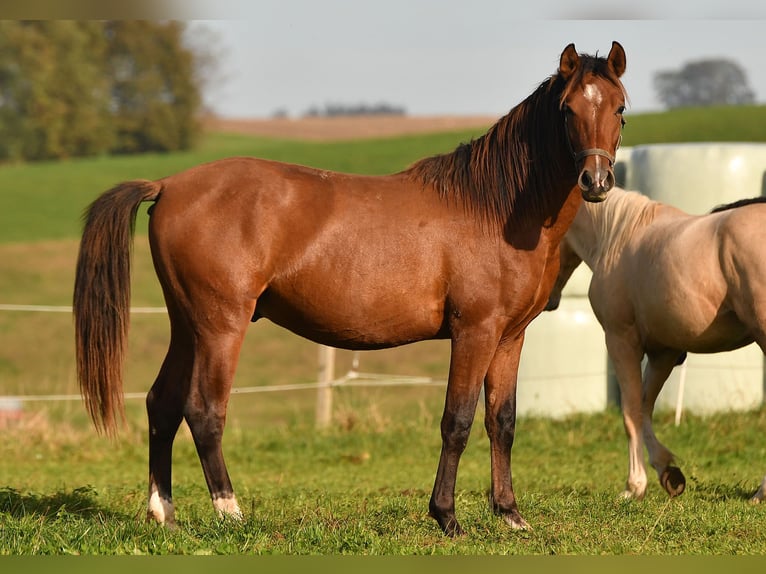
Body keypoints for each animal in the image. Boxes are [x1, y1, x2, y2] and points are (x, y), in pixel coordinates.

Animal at [73, 41, 632, 540]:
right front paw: (447, 518)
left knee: (161, 404)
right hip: (219, 327)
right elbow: (457, 421)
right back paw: (230, 513)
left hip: (186, 325)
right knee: (203, 411)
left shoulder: (510, 337)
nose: (596, 180)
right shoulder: (474, 333)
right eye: (567, 110)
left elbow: (503, 421)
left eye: (620, 108)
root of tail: (168, 185)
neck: (494, 210)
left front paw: (510, 515)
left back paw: (162, 513)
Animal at [544, 188, 766, 504]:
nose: (547, 300)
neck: (618, 235)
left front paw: (634, 486)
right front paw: (668, 472)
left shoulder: (620, 341)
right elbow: (644, 407)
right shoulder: (664, 352)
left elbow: (630, 412)